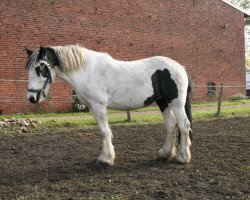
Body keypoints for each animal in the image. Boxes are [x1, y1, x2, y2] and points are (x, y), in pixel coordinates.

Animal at [25, 45, 192, 166]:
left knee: (184, 125)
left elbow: (105, 132)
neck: (86, 71)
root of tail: (181, 68)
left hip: (176, 103)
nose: (31, 98)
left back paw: (182, 158)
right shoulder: (92, 108)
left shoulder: (99, 106)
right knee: (171, 125)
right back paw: (165, 153)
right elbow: (102, 131)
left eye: (39, 68)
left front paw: (105, 159)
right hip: (163, 102)